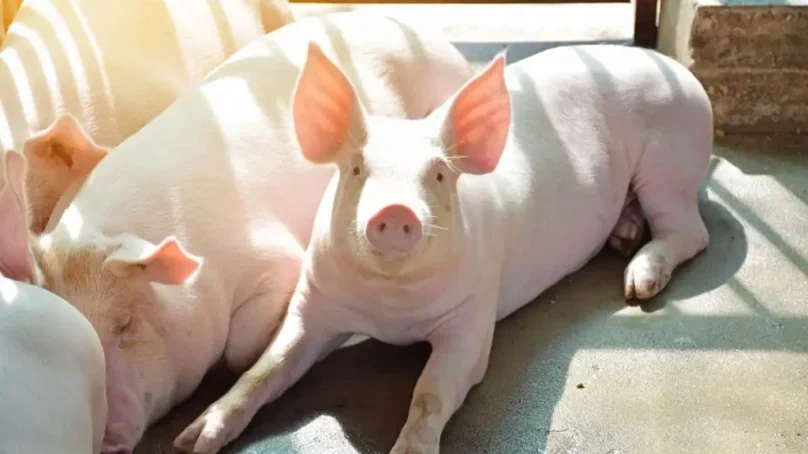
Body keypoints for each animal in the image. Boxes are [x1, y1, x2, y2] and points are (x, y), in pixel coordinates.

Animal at [185, 44, 714, 454]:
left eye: (438, 174)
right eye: (356, 168)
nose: (395, 210)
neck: (391, 311)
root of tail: (676, 69)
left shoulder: (472, 315)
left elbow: (431, 392)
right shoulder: (313, 302)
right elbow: (265, 368)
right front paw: (192, 440)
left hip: (671, 160)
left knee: (692, 231)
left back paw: (637, 284)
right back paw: (623, 238)